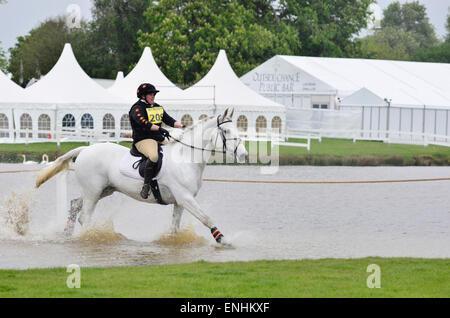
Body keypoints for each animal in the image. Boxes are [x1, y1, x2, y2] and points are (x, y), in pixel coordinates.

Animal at [34, 108, 246, 246]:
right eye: (226, 131)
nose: (243, 155)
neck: (185, 158)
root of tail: (85, 149)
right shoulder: (186, 198)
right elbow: (207, 218)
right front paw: (223, 240)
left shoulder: (180, 202)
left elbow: (174, 228)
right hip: (93, 192)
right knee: (84, 216)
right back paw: (84, 238)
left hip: (103, 190)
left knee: (75, 206)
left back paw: (67, 234)